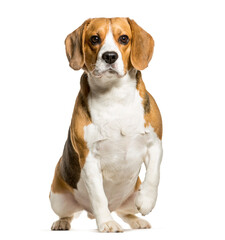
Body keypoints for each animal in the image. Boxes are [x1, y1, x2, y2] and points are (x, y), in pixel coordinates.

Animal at [49, 17, 163, 233]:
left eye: (124, 38)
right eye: (94, 39)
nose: (109, 56)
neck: (114, 96)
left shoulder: (155, 144)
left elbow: (153, 175)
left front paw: (147, 201)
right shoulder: (89, 158)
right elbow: (98, 196)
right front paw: (107, 223)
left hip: (130, 197)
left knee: (125, 212)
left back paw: (137, 220)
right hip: (57, 198)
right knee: (68, 213)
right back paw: (63, 222)